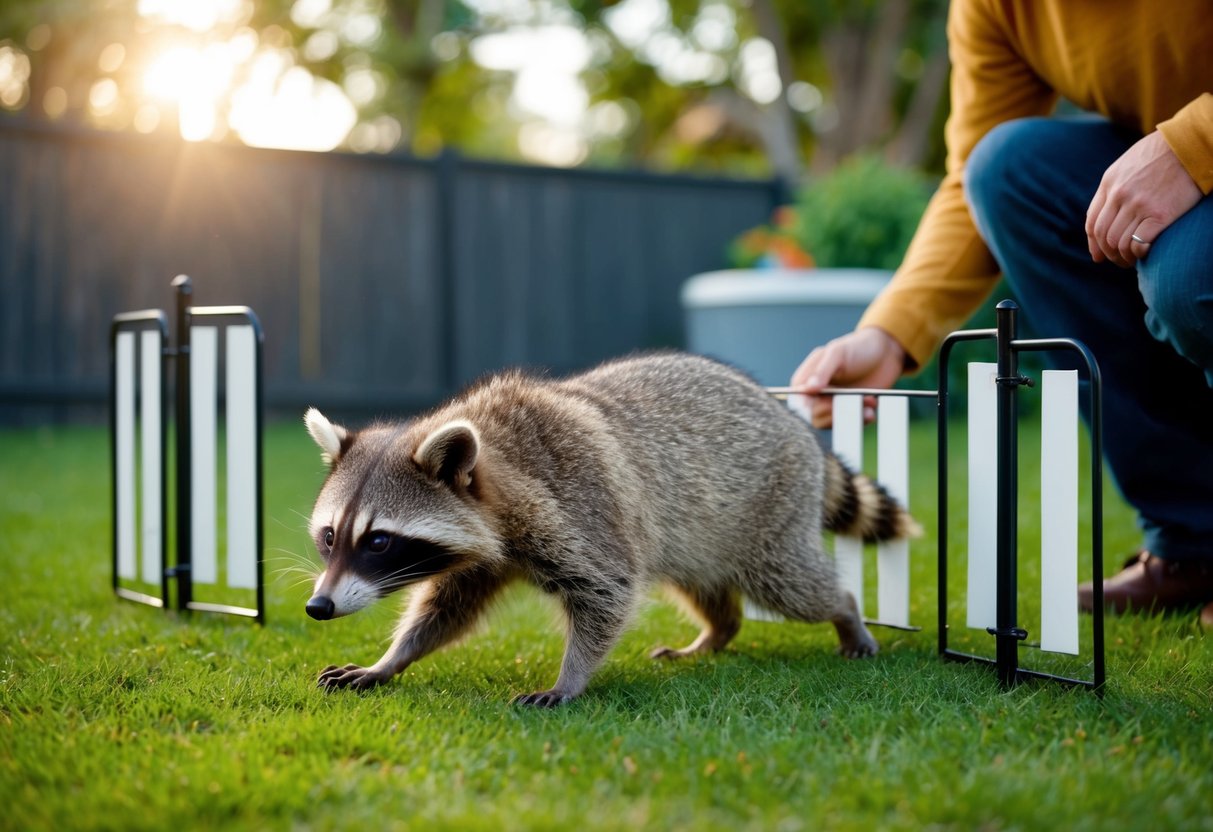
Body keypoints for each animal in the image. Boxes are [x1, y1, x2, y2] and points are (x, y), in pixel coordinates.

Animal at [303, 352, 919, 707]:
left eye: (378, 541)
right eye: (331, 537)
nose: (318, 607)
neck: (497, 453)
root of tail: (790, 420)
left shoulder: (581, 506)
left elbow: (607, 591)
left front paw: (569, 678)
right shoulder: (487, 550)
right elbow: (445, 609)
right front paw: (391, 660)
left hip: (768, 512)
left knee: (792, 584)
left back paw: (844, 612)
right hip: (695, 530)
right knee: (702, 582)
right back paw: (717, 631)